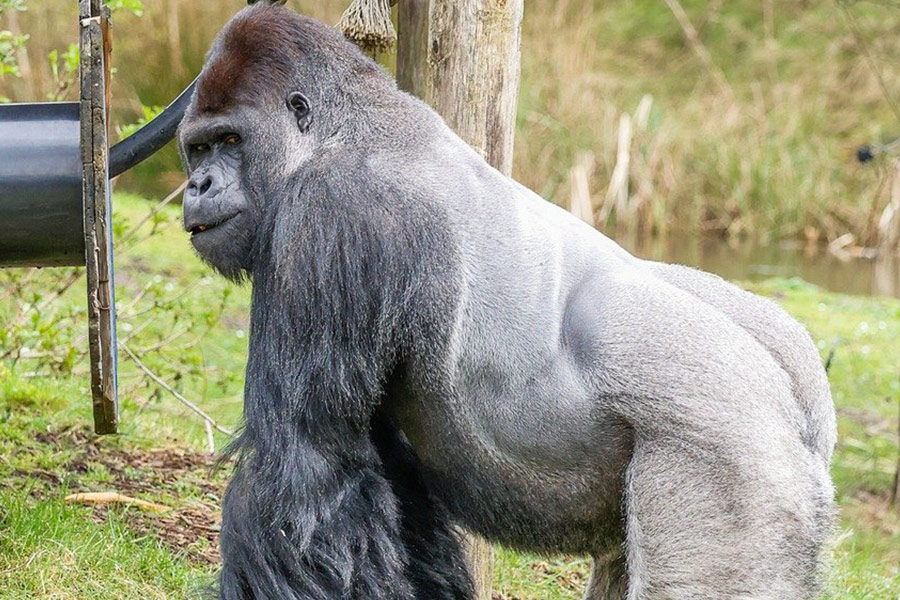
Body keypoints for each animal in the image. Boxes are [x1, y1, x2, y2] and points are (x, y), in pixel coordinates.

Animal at [178, 5, 836, 599]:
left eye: (230, 140)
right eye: (197, 149)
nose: (197, 185)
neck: (350, 127)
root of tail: (803, 407)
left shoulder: (328, 214)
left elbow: (308, 468)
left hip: (735, 455)